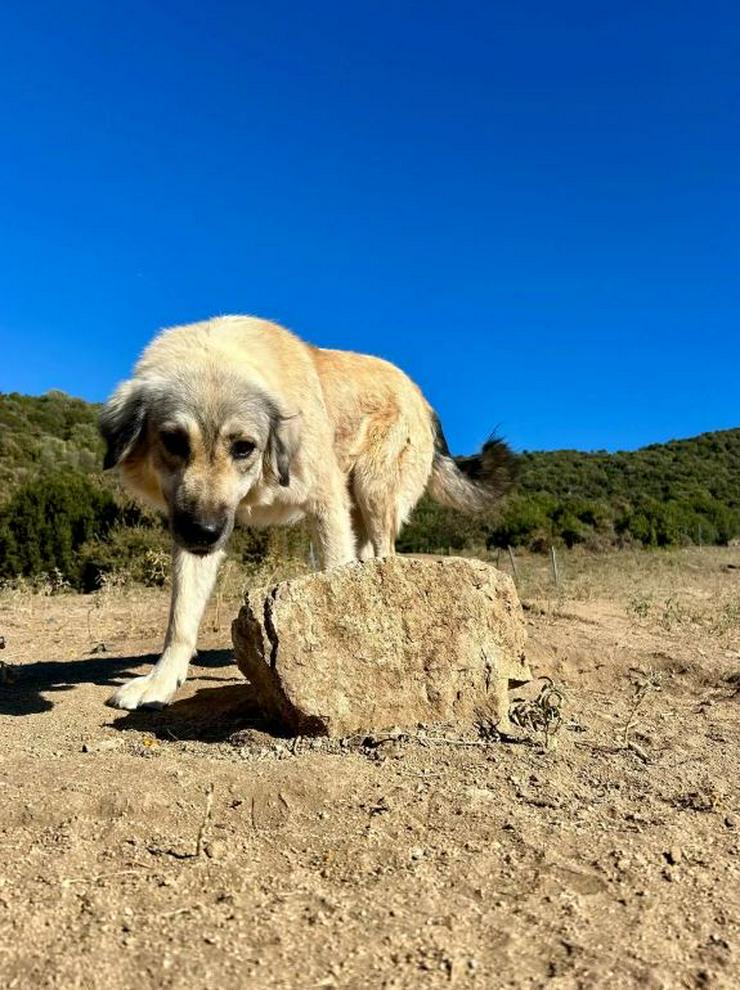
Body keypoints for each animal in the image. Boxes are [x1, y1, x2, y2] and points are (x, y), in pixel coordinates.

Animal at [101, 314, 512, 708]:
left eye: (243, 447)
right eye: (173, 441)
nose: (203, 532)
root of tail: (421, 398)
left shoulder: (325, 502)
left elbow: (335, 581)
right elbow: (181, 615)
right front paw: (160, 681)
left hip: (372, 492)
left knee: (384, 554)